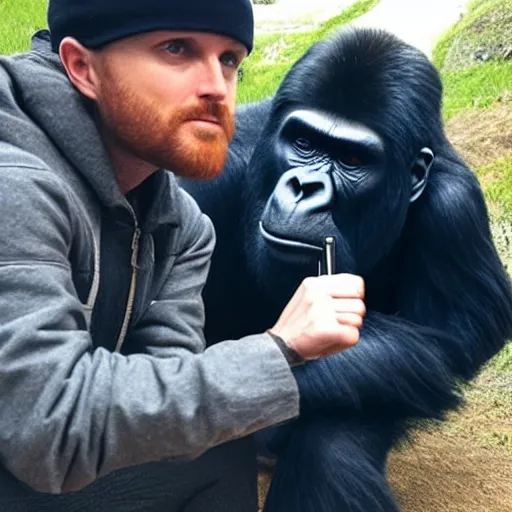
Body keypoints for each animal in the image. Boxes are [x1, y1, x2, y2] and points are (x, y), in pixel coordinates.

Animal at [180, 27, 512, 512]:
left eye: (353, 161)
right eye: (303, 143)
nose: (304, 187)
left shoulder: (456, 207)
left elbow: (449, 340)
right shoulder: (200, 181)